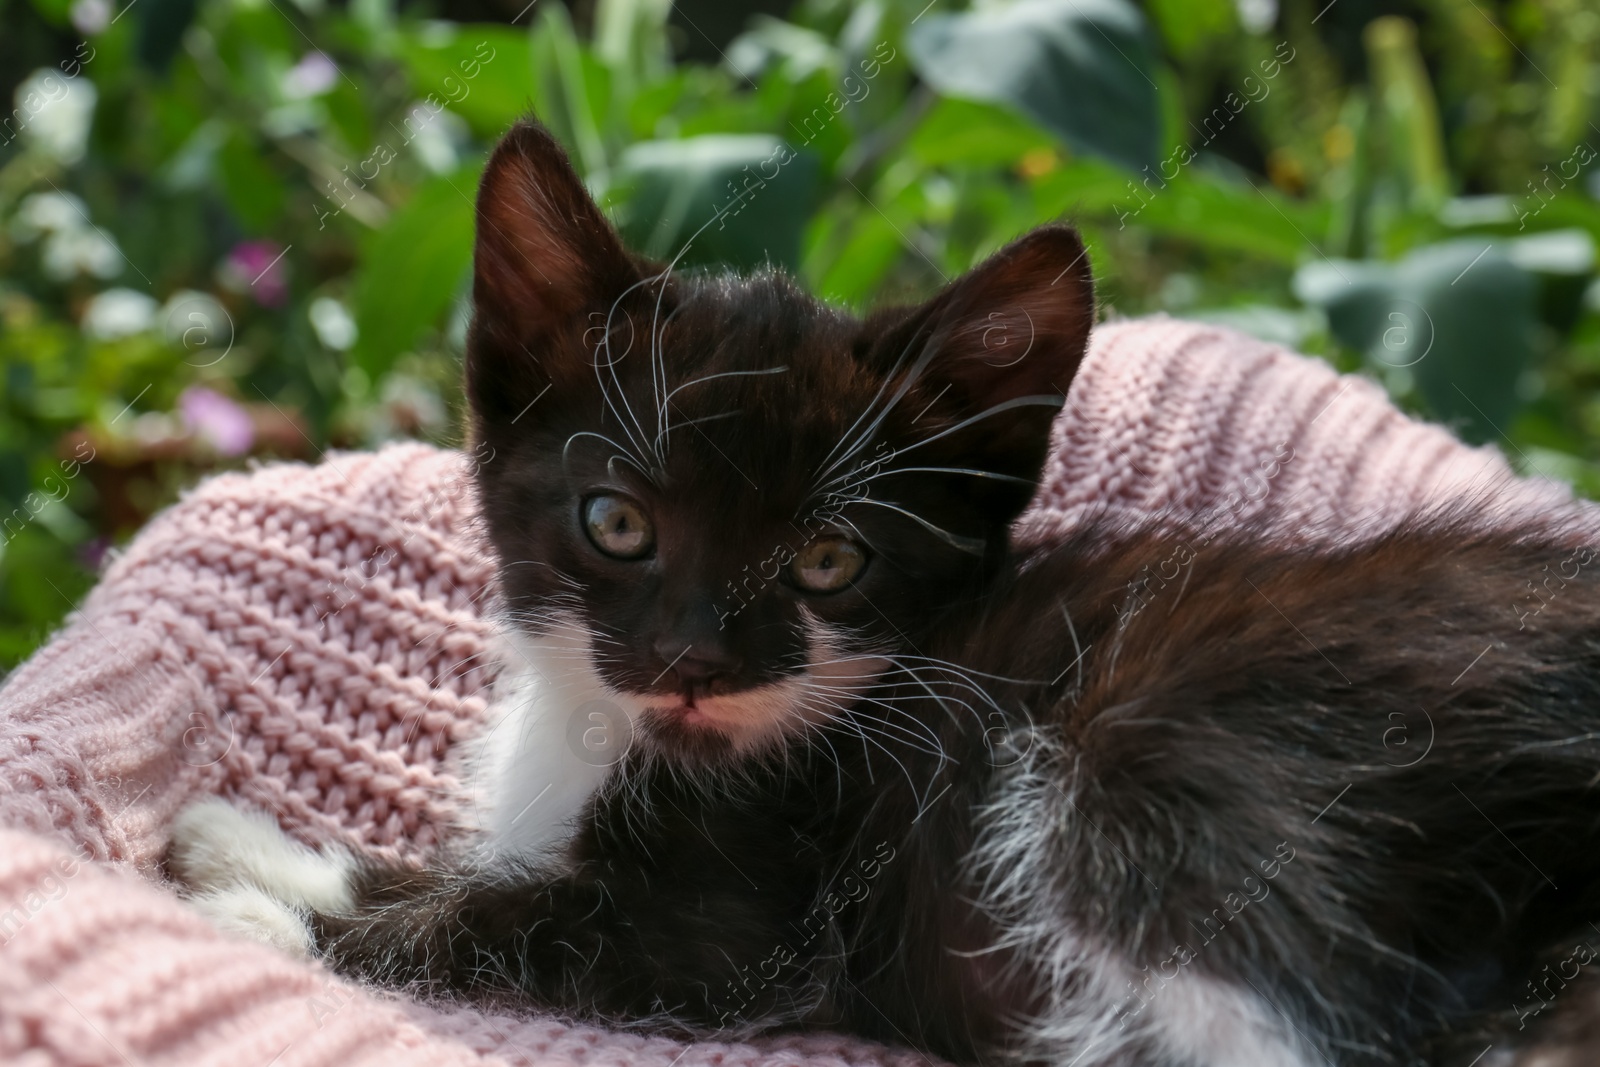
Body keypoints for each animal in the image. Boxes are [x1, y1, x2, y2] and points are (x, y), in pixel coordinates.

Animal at [165, 120, 1600, 1062]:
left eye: (827, 559)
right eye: (616, 522)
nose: (695, 659)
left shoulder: (750, 921)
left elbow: (515, 917)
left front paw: (261, 896)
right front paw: (264, 848)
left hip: (1191, 758)